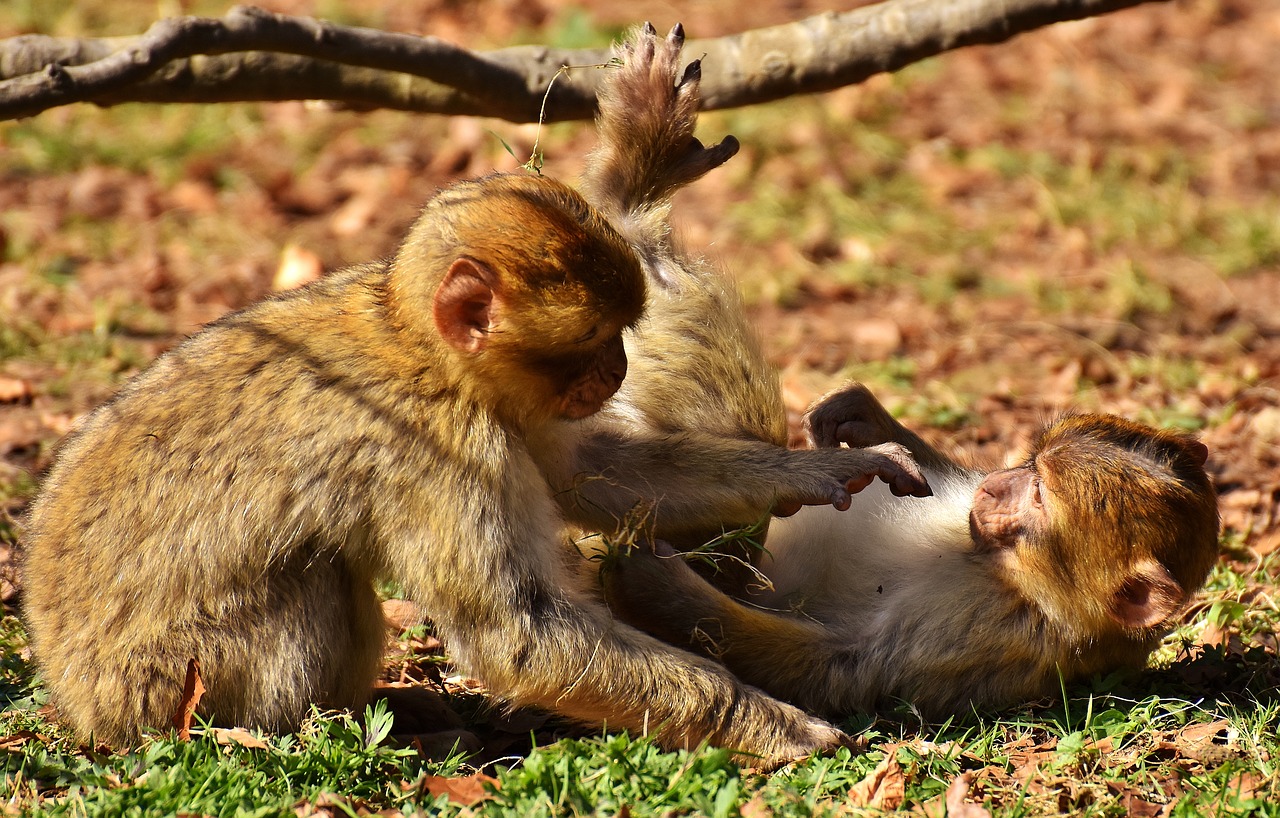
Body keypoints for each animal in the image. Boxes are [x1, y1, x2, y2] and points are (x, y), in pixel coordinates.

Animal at [601, 384, 1218, 716]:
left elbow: (844, 669)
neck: (1011, 577)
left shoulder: (989, 632)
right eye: (1030, 464)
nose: (993, 486)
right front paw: (862, 416)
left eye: (1040, 496)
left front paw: (655, 578)